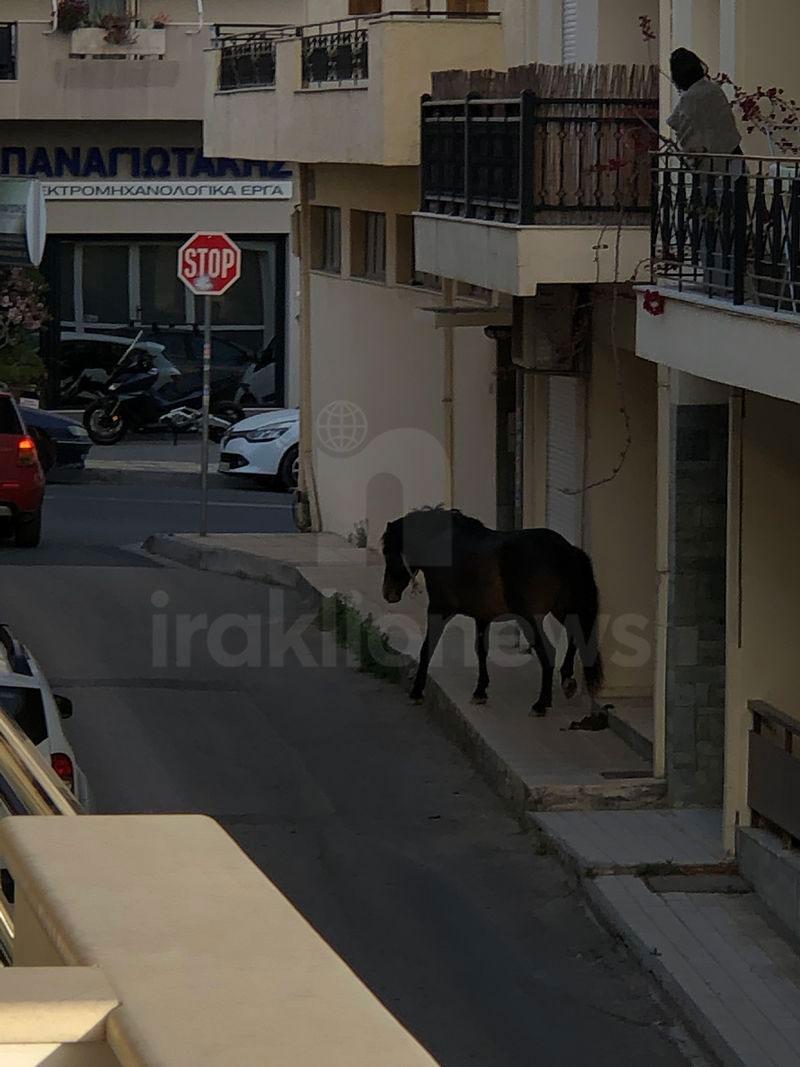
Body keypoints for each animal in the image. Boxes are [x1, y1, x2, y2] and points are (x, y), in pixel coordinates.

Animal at [379, 507, 601, 717]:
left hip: (530, 618)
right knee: (577, 635)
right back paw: (567, 680)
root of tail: (566, 551)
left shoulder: (438, 610)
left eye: (388, 552)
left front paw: (416, 692)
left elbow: (427, 649)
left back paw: (541, 704)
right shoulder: (482, 616)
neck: (442, 544)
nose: (387, 593)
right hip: (563, 609)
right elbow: (481, 650)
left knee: (549, 651)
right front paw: (480, 691)